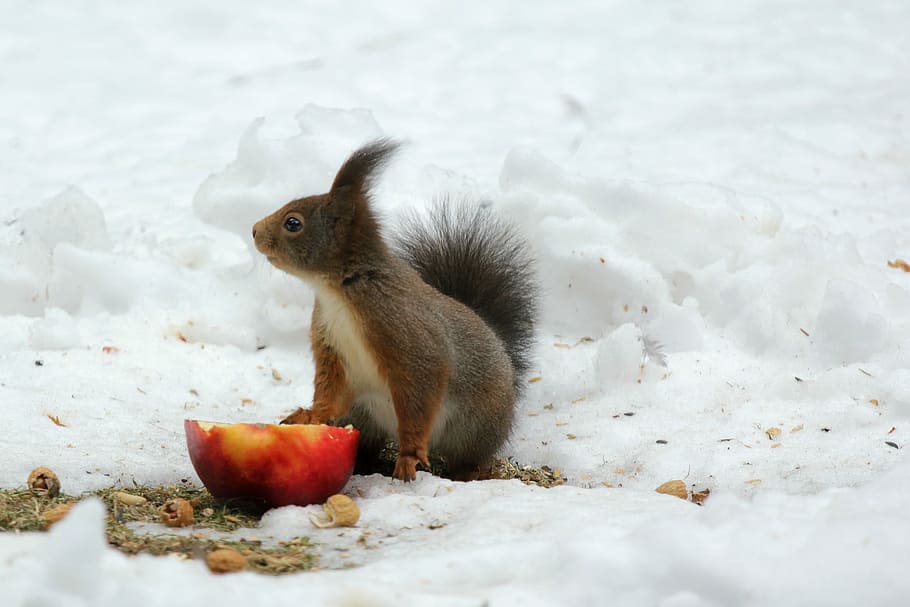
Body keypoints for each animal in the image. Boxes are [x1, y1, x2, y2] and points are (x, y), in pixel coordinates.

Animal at [251, 140, 538, 481]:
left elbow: (420, 395)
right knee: (366, 442)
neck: (339, 293)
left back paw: (472, 473)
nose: (254, 230)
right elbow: (331, 390)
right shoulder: (331, 346)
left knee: (465, 459)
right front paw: (310, 414)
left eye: (293, 223)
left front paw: (409, 456)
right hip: (363, 415)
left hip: (474, 427)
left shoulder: (407, 339)